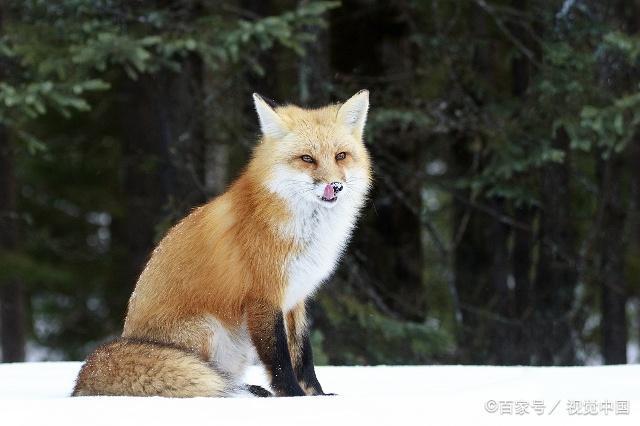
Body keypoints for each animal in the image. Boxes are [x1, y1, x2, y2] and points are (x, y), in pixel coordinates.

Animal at [71, 89, 370, 396]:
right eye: (307, 158)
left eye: (341, 156)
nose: (335, 186)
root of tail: (126, 337)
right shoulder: (264, 296)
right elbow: (278, 358)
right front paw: (292, 396)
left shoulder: (296, 298)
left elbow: (303, 355)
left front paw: (317, 396)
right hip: (209, 329)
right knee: (210, 379)